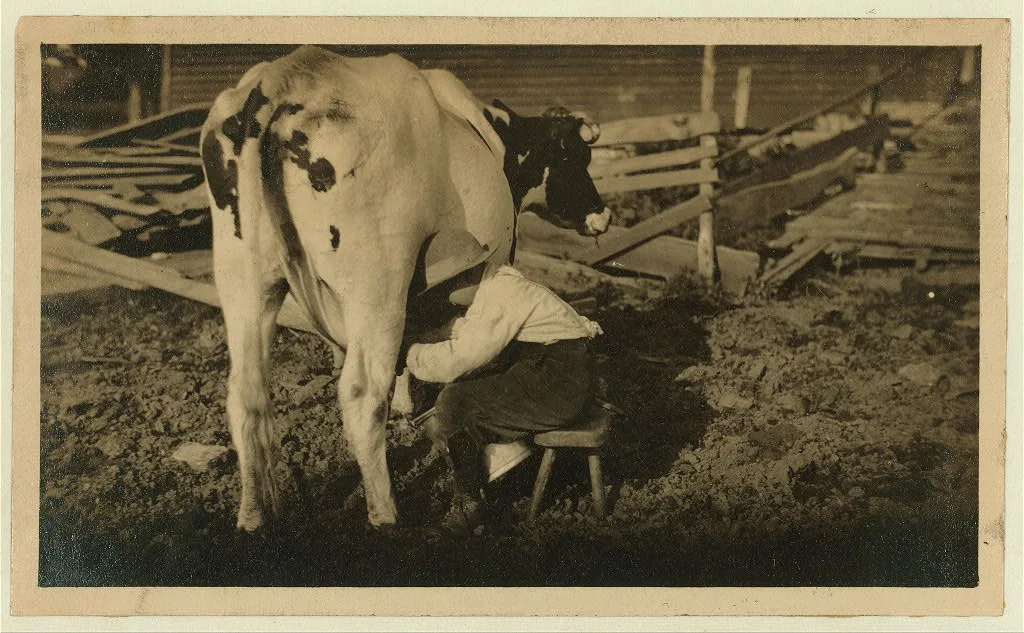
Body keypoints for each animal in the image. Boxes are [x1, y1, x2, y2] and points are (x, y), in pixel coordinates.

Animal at [199, 45, 609, 532]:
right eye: (576, 159)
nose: (604, 214)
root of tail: (284, 78)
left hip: (243, 281)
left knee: (246, 395)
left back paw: (254, 515)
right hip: (376, 286)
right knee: (361, 394)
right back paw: (386, 515)